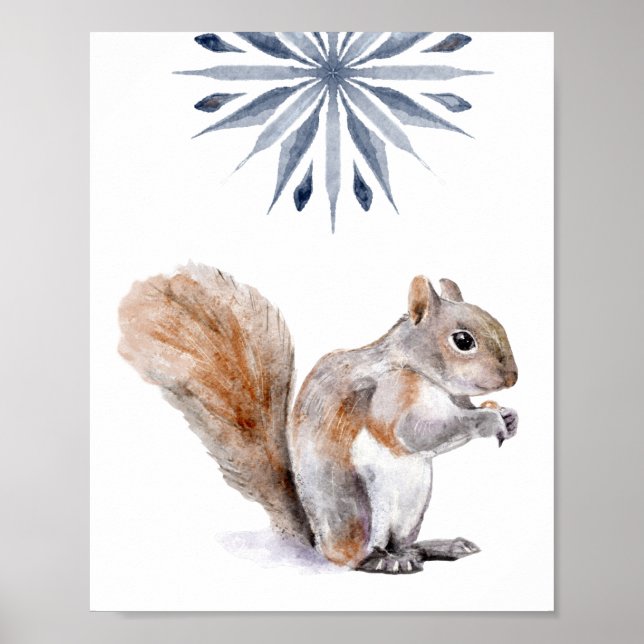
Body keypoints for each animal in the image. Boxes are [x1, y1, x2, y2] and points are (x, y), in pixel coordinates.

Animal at [118, 263, 518, 575]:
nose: (513, 378)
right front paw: (488, 421)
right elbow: (414, 432)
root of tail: (317, 538)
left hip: (413, 504)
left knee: (402, 542)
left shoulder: (456, 398)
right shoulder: (391, 394)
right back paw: (383, 560)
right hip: (356, 509)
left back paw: (430, 548)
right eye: (463, 340)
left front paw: (507, 415)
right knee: (354, 557)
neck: (423, 372)